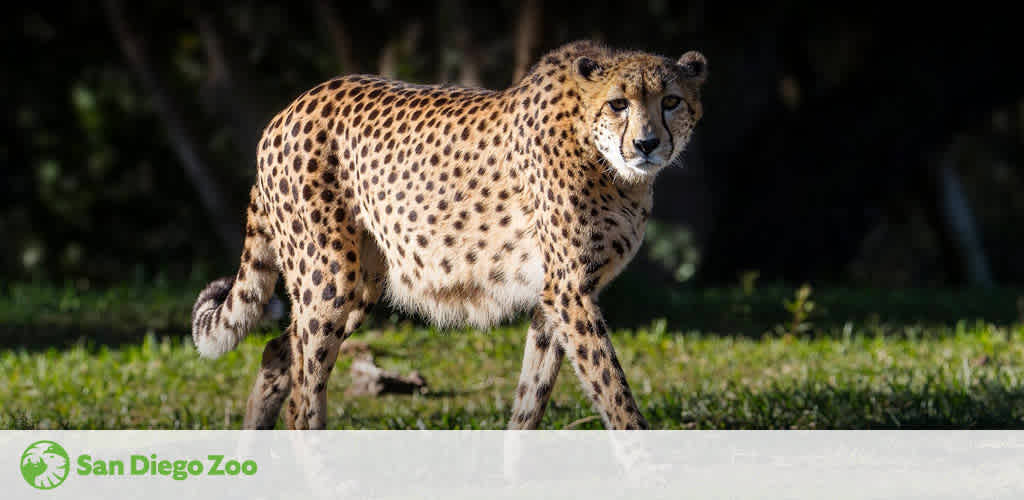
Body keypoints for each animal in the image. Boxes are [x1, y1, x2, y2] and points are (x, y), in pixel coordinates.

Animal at [190, 39, 704, 430]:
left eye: (671, 101)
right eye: (618, 104)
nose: (646, 144)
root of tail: (288, 110)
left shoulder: (554, 298)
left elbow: (530, 400)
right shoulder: (570, 292)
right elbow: (614, 391)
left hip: (360, 282)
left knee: (278, 351)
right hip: (329, 277)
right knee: (302, 399)